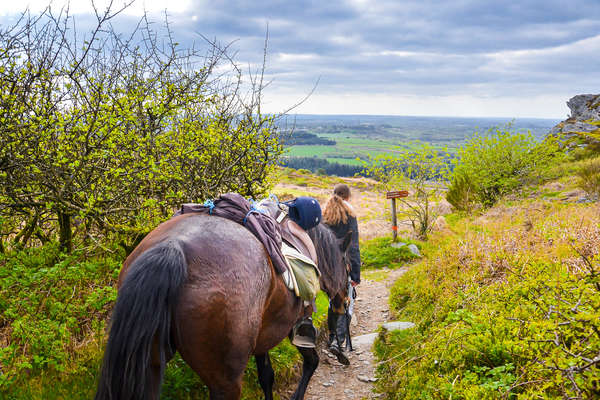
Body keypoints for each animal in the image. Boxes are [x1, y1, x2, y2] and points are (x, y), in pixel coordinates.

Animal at [94, 212, 352, 400]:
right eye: (347, 264)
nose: (344, 301)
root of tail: (173, 247)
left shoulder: (262, 337)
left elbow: (266, 376)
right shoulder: (294, 326)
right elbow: (311, 362)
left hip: (149, 364)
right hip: (225, 381)